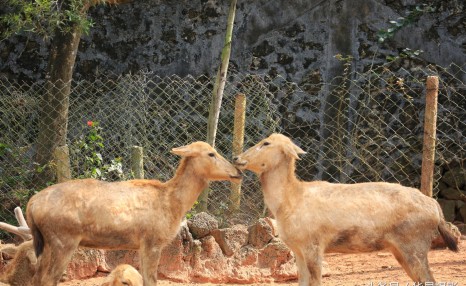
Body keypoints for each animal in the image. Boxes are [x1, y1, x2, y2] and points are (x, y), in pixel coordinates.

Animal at [26, 142, 240, 284]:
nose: (237, 171)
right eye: (211, 153)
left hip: (45, 243)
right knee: (47, 279)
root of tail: (31, 205)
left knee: (36, 278)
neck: (174, 204)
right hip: (63, 240)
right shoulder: (152, 241)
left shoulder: (142, 245)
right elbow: (151, 281)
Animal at [233, 134, 458, 286]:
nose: (236, 158)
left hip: (414, 245)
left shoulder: (314, 244)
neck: (289, 202)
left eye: (266, 143)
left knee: (429, 279)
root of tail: (436, 208)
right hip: (402, 249)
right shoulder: (297, 248)